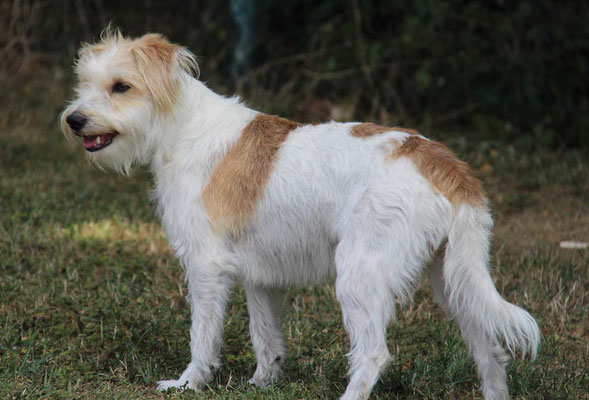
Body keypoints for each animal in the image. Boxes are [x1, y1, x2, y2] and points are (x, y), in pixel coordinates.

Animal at [62, 31, 540, 400]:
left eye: (121, 86)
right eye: (84, 83)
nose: (74, 119)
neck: (182, 129)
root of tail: (440, 161)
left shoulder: (206, 267)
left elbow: (203, 336)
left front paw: (188, 384)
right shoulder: (258, 277)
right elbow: (266, 339)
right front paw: (262, 384)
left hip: (360, 277)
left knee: (373, 354)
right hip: (454, 280)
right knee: (489, 351)